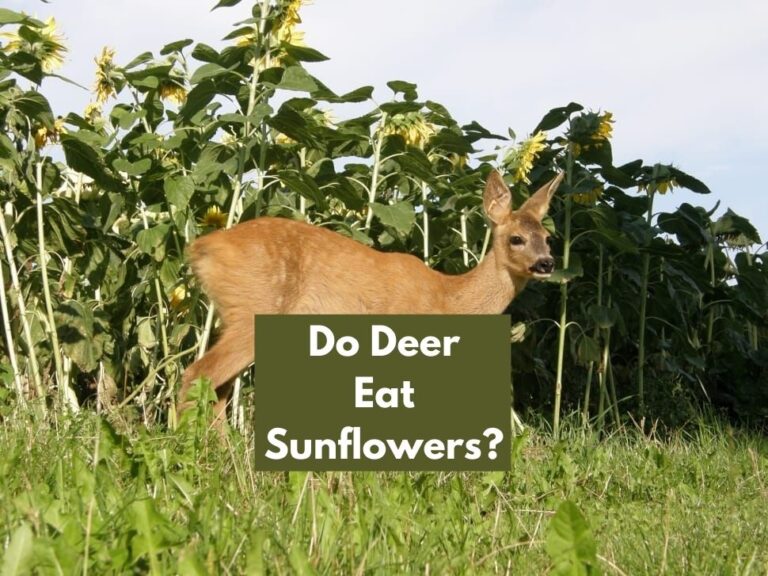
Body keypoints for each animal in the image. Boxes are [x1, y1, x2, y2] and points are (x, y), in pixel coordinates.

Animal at [178, 170, 564, 423]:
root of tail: (202, 247)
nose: (546, 263)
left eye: (548, 238)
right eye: (516, 238)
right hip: (255, 309)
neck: (449, 297)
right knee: (198, 373)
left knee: (217, 388)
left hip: (233, 313)